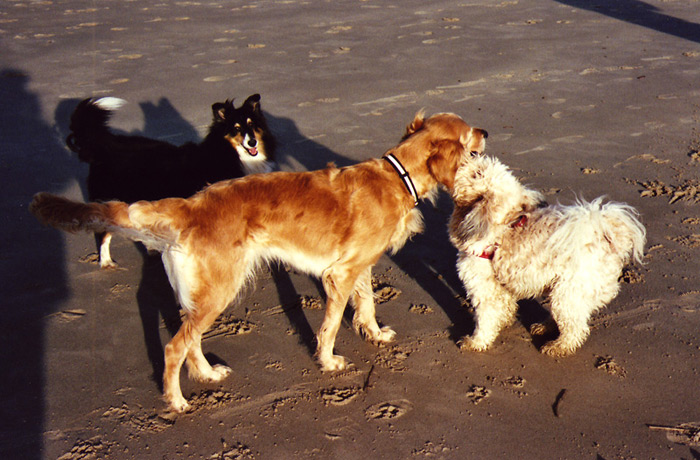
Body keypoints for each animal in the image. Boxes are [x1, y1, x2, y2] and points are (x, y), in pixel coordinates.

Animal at [31, 112, 486, 414]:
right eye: (468, 133)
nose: (486, 129)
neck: (396, 176)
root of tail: (191, 205)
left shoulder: (359, 267)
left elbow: (368, 304)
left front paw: (373, 334)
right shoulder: (339, 273)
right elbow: (330, 325)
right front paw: (328, 362)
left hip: (206, 296)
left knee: (190, 341)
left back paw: (208, 376)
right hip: (220, 289)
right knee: (175, 346)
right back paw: (176, 400)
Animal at [448, 155, 644, 356]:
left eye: (477, 173)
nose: (471, 154)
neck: (503, 227)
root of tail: (608, 238)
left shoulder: (484, 287)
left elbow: (485, 319)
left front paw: (476, 342)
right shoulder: (500, 287)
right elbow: (505, 307)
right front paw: (504, 322)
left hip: (568, 292)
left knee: (575, 328)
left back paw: (558, 346)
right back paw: (544, 327)